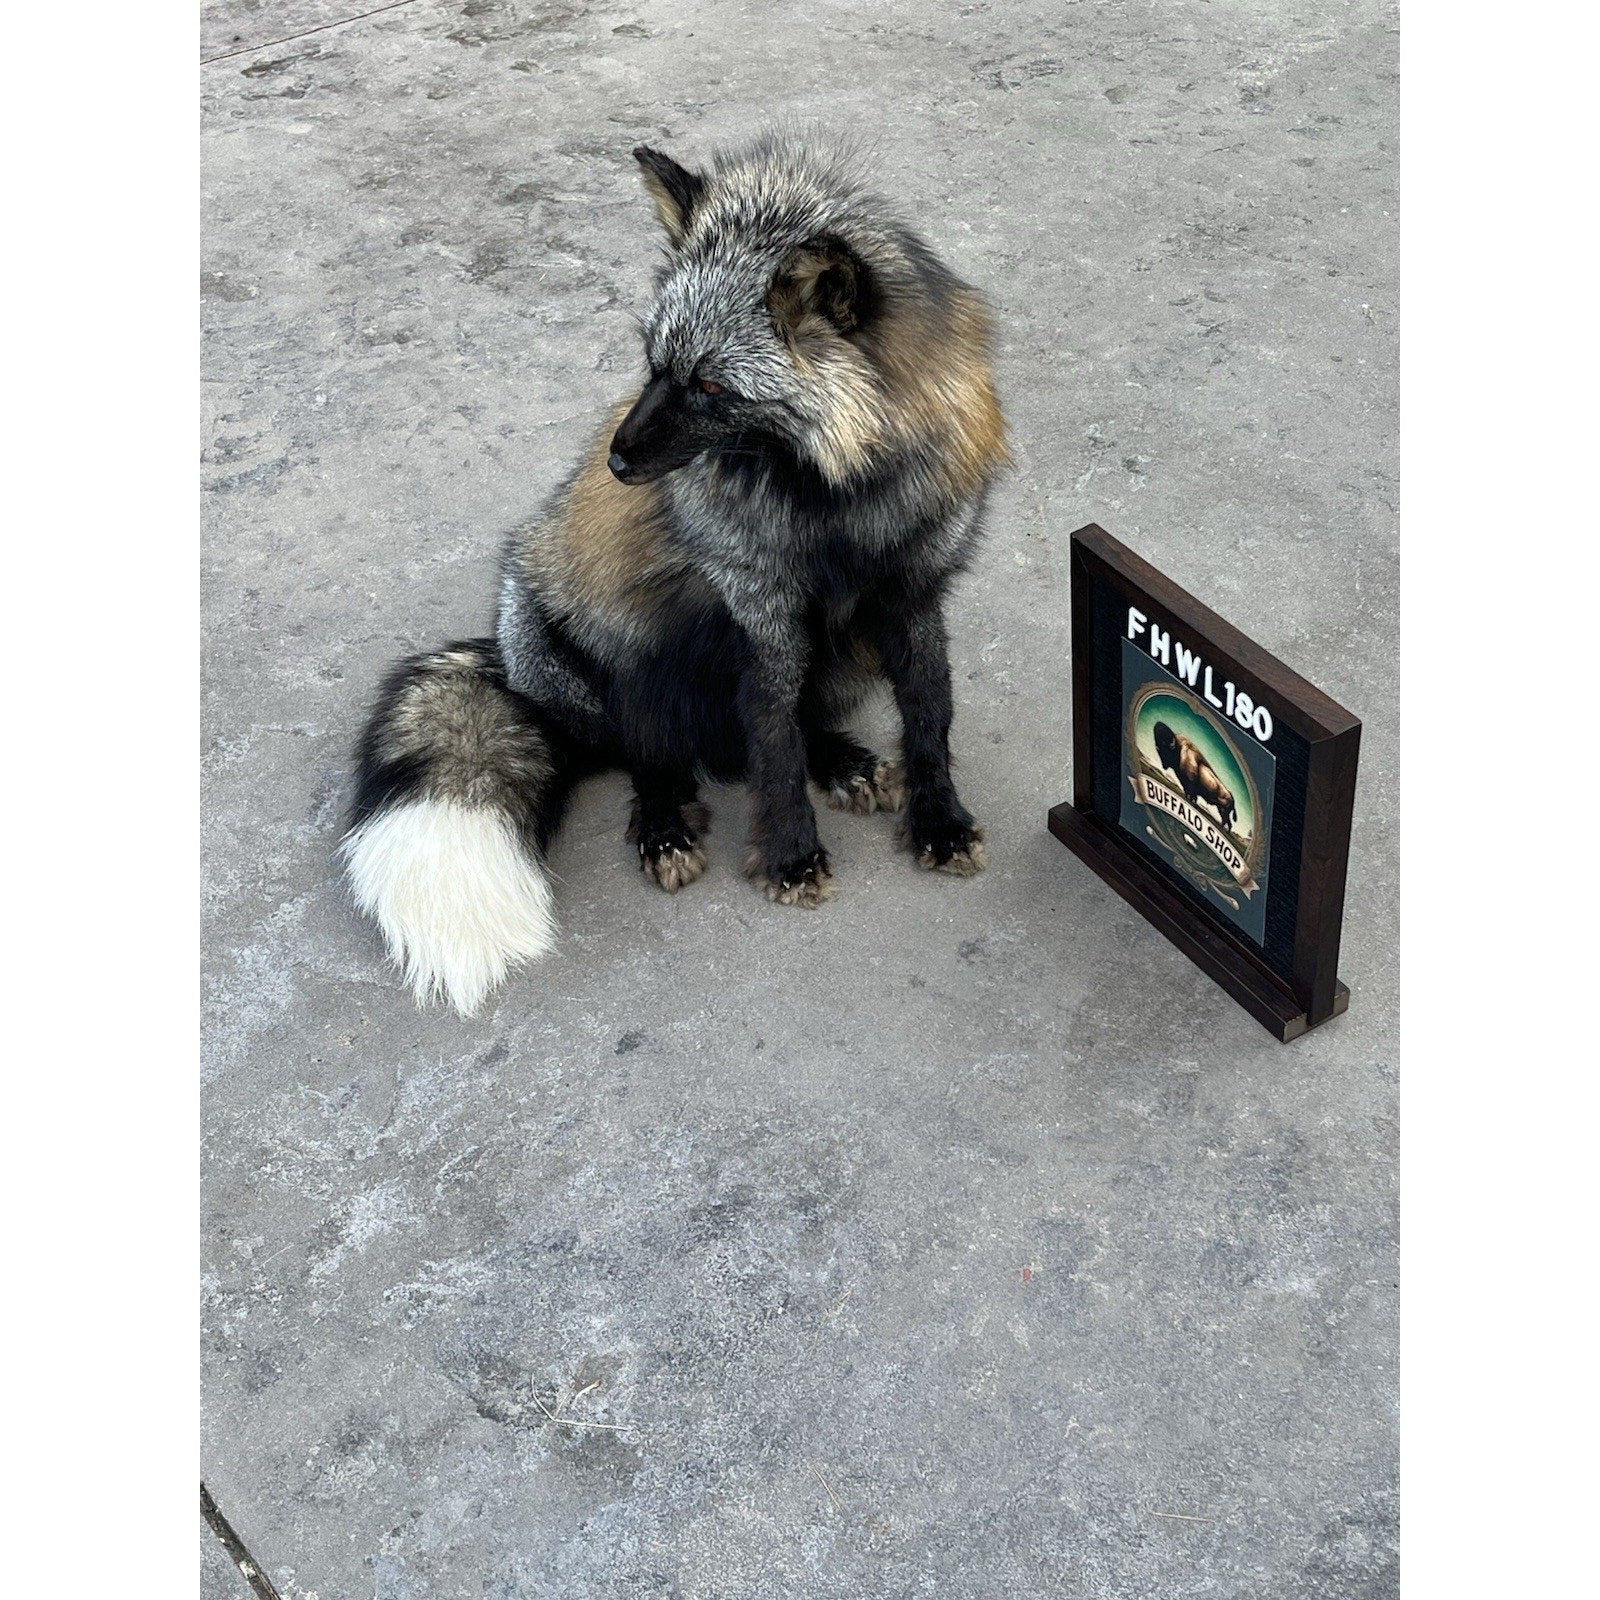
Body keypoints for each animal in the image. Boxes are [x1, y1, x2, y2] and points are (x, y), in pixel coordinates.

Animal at [341, 133, 1009, 1014]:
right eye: (653, 363)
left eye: (711, 384)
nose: (617, 461)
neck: (836, 508)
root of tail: (511, 670)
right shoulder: (759, 608)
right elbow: (773, 744)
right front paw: (791, 855)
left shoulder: (913, 594)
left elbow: (929, 718)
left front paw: (939, 823)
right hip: (618, 661)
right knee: (653, 753)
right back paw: (664, 823)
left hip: (841, 653)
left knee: (774, 731)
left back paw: (842, 760)